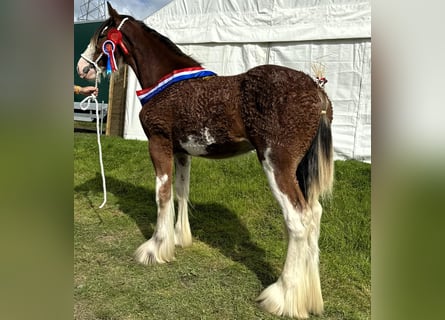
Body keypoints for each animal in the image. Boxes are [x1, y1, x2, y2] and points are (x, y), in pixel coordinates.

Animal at [76, 2, 332, 318]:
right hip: (300, 170)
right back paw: (309, 296)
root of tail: (317, 92)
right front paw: (178, 239)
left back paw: (282, 297)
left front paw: (154, 249)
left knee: (298, 220)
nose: (82, 68)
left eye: (102, 35)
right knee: (315, 215)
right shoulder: (182, 153)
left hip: (277, 166)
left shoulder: (159, 144)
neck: (166, 83)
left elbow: (162, 194)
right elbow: (180, 193)